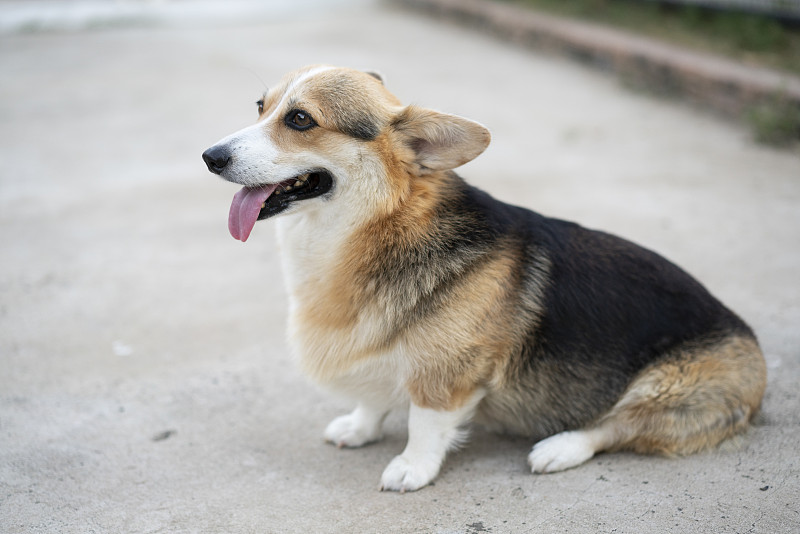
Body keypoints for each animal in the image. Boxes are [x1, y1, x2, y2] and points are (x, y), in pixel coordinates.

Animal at [203, 66, 764, 494]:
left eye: (300, 119)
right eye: (260, 106)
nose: (210, 157)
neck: (381, 225)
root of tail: (752, 344)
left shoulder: (446, 371)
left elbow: (426, 420)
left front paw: (411, 468)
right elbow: (374, 396)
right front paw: (360, 427)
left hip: (669, 390)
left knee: (615, 428)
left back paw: (559, 448)